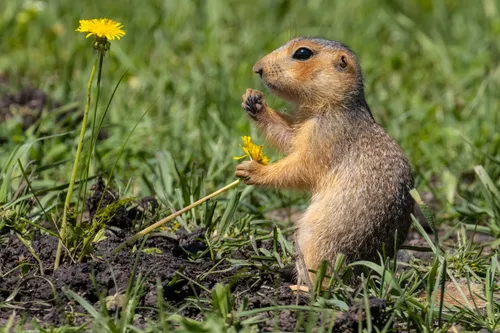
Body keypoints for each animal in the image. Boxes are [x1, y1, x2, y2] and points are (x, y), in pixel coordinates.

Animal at [234, 36, 414, 286]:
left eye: (302, 53)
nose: (257, 68)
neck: (332, 107)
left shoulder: (325, 137)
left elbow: (301, 167)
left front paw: (252, 170)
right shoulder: (304, 127)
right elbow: (288, 136)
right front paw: (253, 100)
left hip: (318, 238)